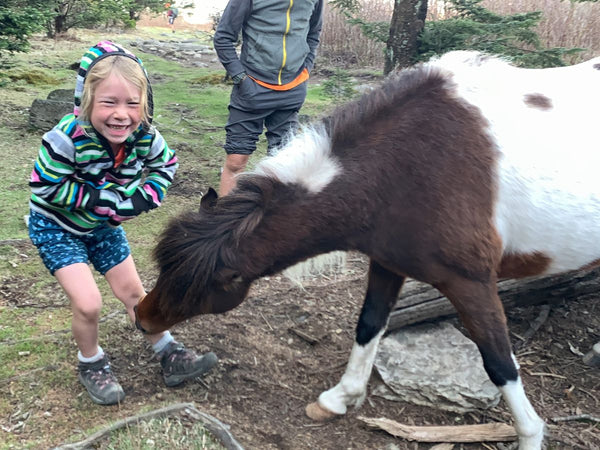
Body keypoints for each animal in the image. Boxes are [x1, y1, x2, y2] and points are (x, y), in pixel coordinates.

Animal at [136, 51, 600, 450]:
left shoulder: (471, 283)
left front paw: (530, 434)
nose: (141, 316)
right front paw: (340, 398)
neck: (409, 167)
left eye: (201, 283)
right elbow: (369, 324)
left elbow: (500, 364)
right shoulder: (387, 262)